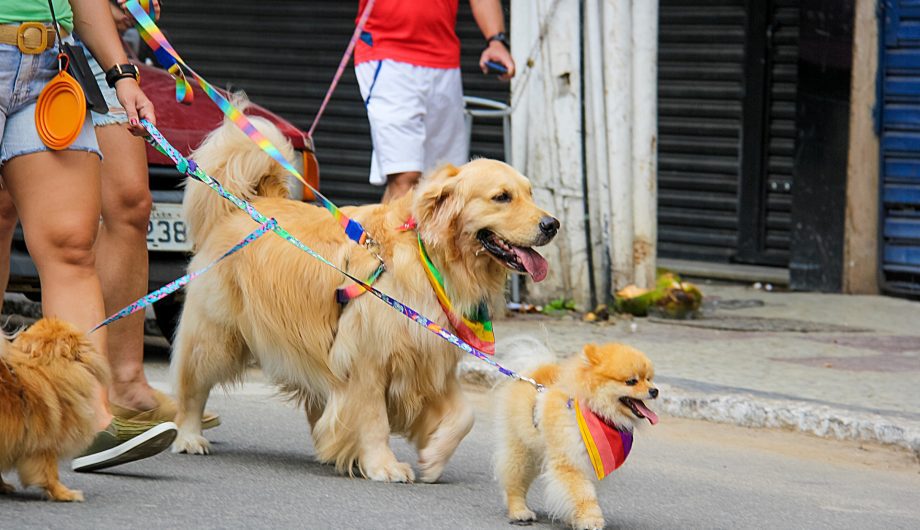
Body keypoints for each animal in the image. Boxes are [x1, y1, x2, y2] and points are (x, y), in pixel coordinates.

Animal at [496, 336, 660, 524]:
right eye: (632, 381)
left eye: (649, 379)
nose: (655, 390)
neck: (595, 413)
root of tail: (533, 371)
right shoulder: (571, 462)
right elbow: (583, 493)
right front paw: (591, 519)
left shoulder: (593, 465)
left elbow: (581, 494)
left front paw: (575, 518)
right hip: (523, 453)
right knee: (514, 481)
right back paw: (519, 510)